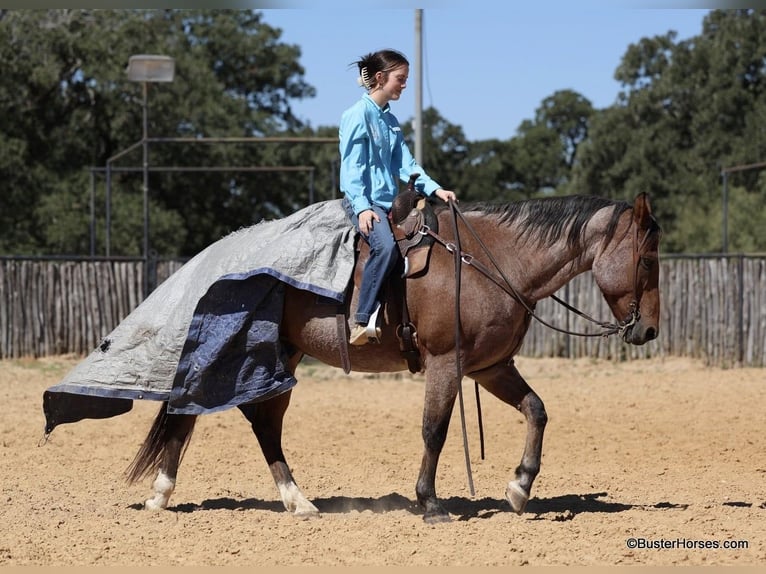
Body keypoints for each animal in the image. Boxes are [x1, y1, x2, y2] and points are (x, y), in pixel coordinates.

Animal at [124, 194, 660, 528]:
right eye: (647, 259)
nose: (649, 329)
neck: (491, 263)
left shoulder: (490, 367)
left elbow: (537, 410)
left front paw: (520, 486)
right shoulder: (447, 363)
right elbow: (434, 430)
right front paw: (430, 502)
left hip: (283, 358)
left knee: (259, 422)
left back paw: (295, 500)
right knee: (193, 412)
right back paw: (163, 494)